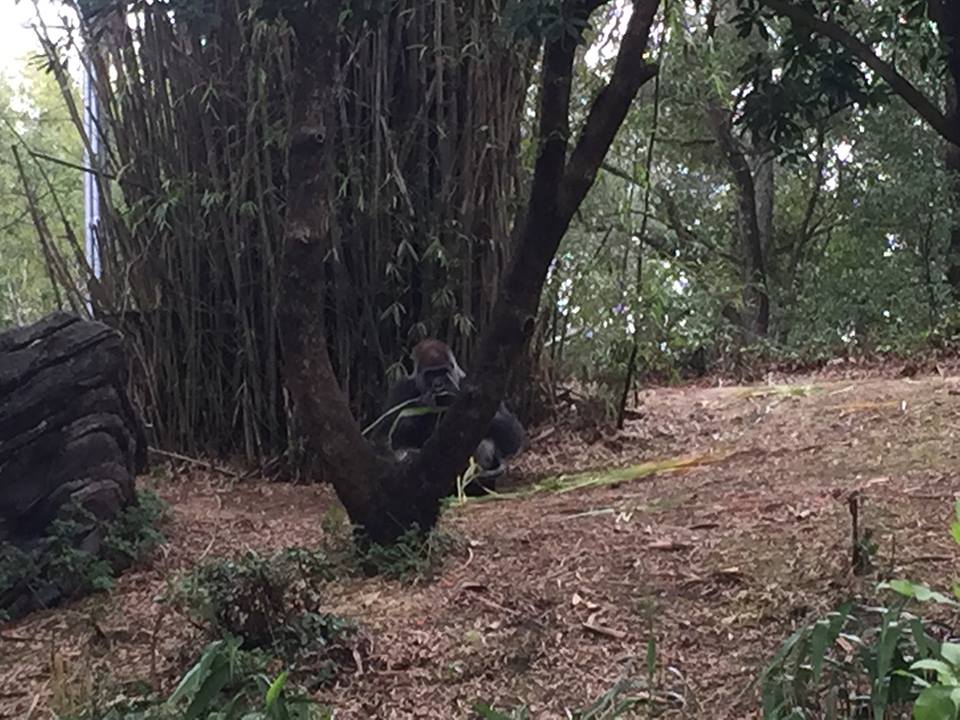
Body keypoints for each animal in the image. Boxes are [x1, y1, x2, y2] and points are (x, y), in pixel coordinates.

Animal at [382, 338, 526, 494]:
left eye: (443, 372)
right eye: (430, 374)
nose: (438, 385)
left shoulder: (482, 385)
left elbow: (513, 436)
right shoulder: (399, 389)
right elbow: (387, 436)